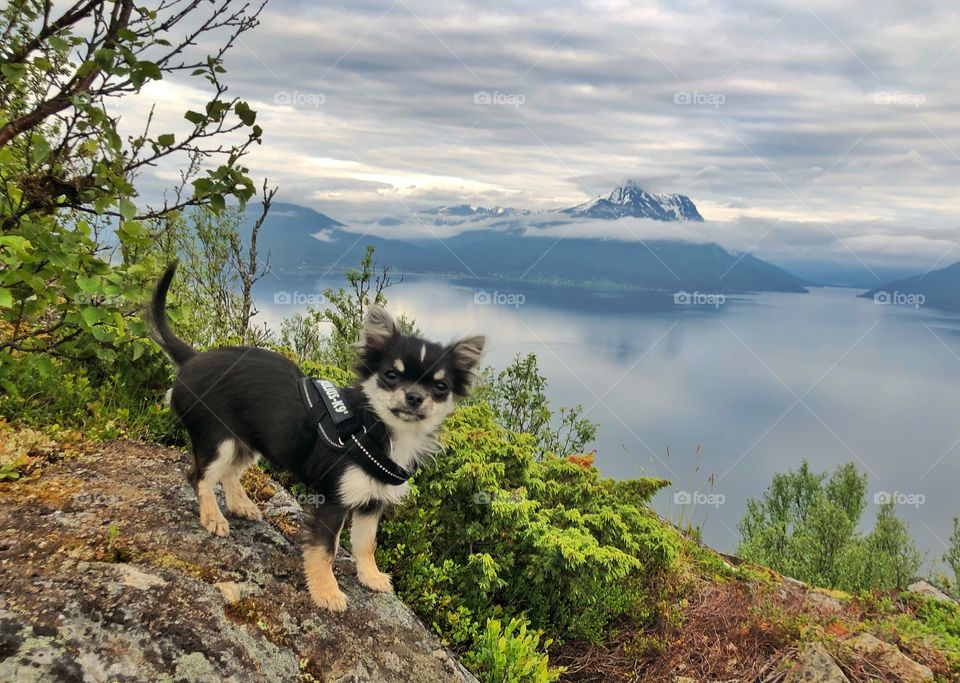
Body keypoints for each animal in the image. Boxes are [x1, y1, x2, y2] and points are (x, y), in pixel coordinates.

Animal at [145, 264, 484, 612]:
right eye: (391, 375)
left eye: (441, 387)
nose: (415, 397)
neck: (377, 429)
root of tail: (193, 358)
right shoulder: (333, 501)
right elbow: (325, 550)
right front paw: (326, 592)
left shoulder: (370, 503)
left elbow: (366, 544)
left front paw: (370, 577)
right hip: (219, 440)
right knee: (199, 475)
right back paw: (213, 517)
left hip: (248, 443)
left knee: (228, 473)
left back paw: (240, 505)